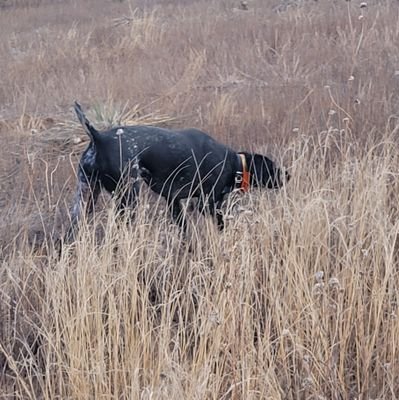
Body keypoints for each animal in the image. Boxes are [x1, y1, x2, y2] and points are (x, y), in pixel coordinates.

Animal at [67, 101, 290, 238]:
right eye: (272, 167)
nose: (287, 174)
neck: (232, 163)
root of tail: (98, 138)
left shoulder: (174, 202)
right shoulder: (208, 204)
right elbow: (220, 224)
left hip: (85, 199)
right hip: (128, 197)